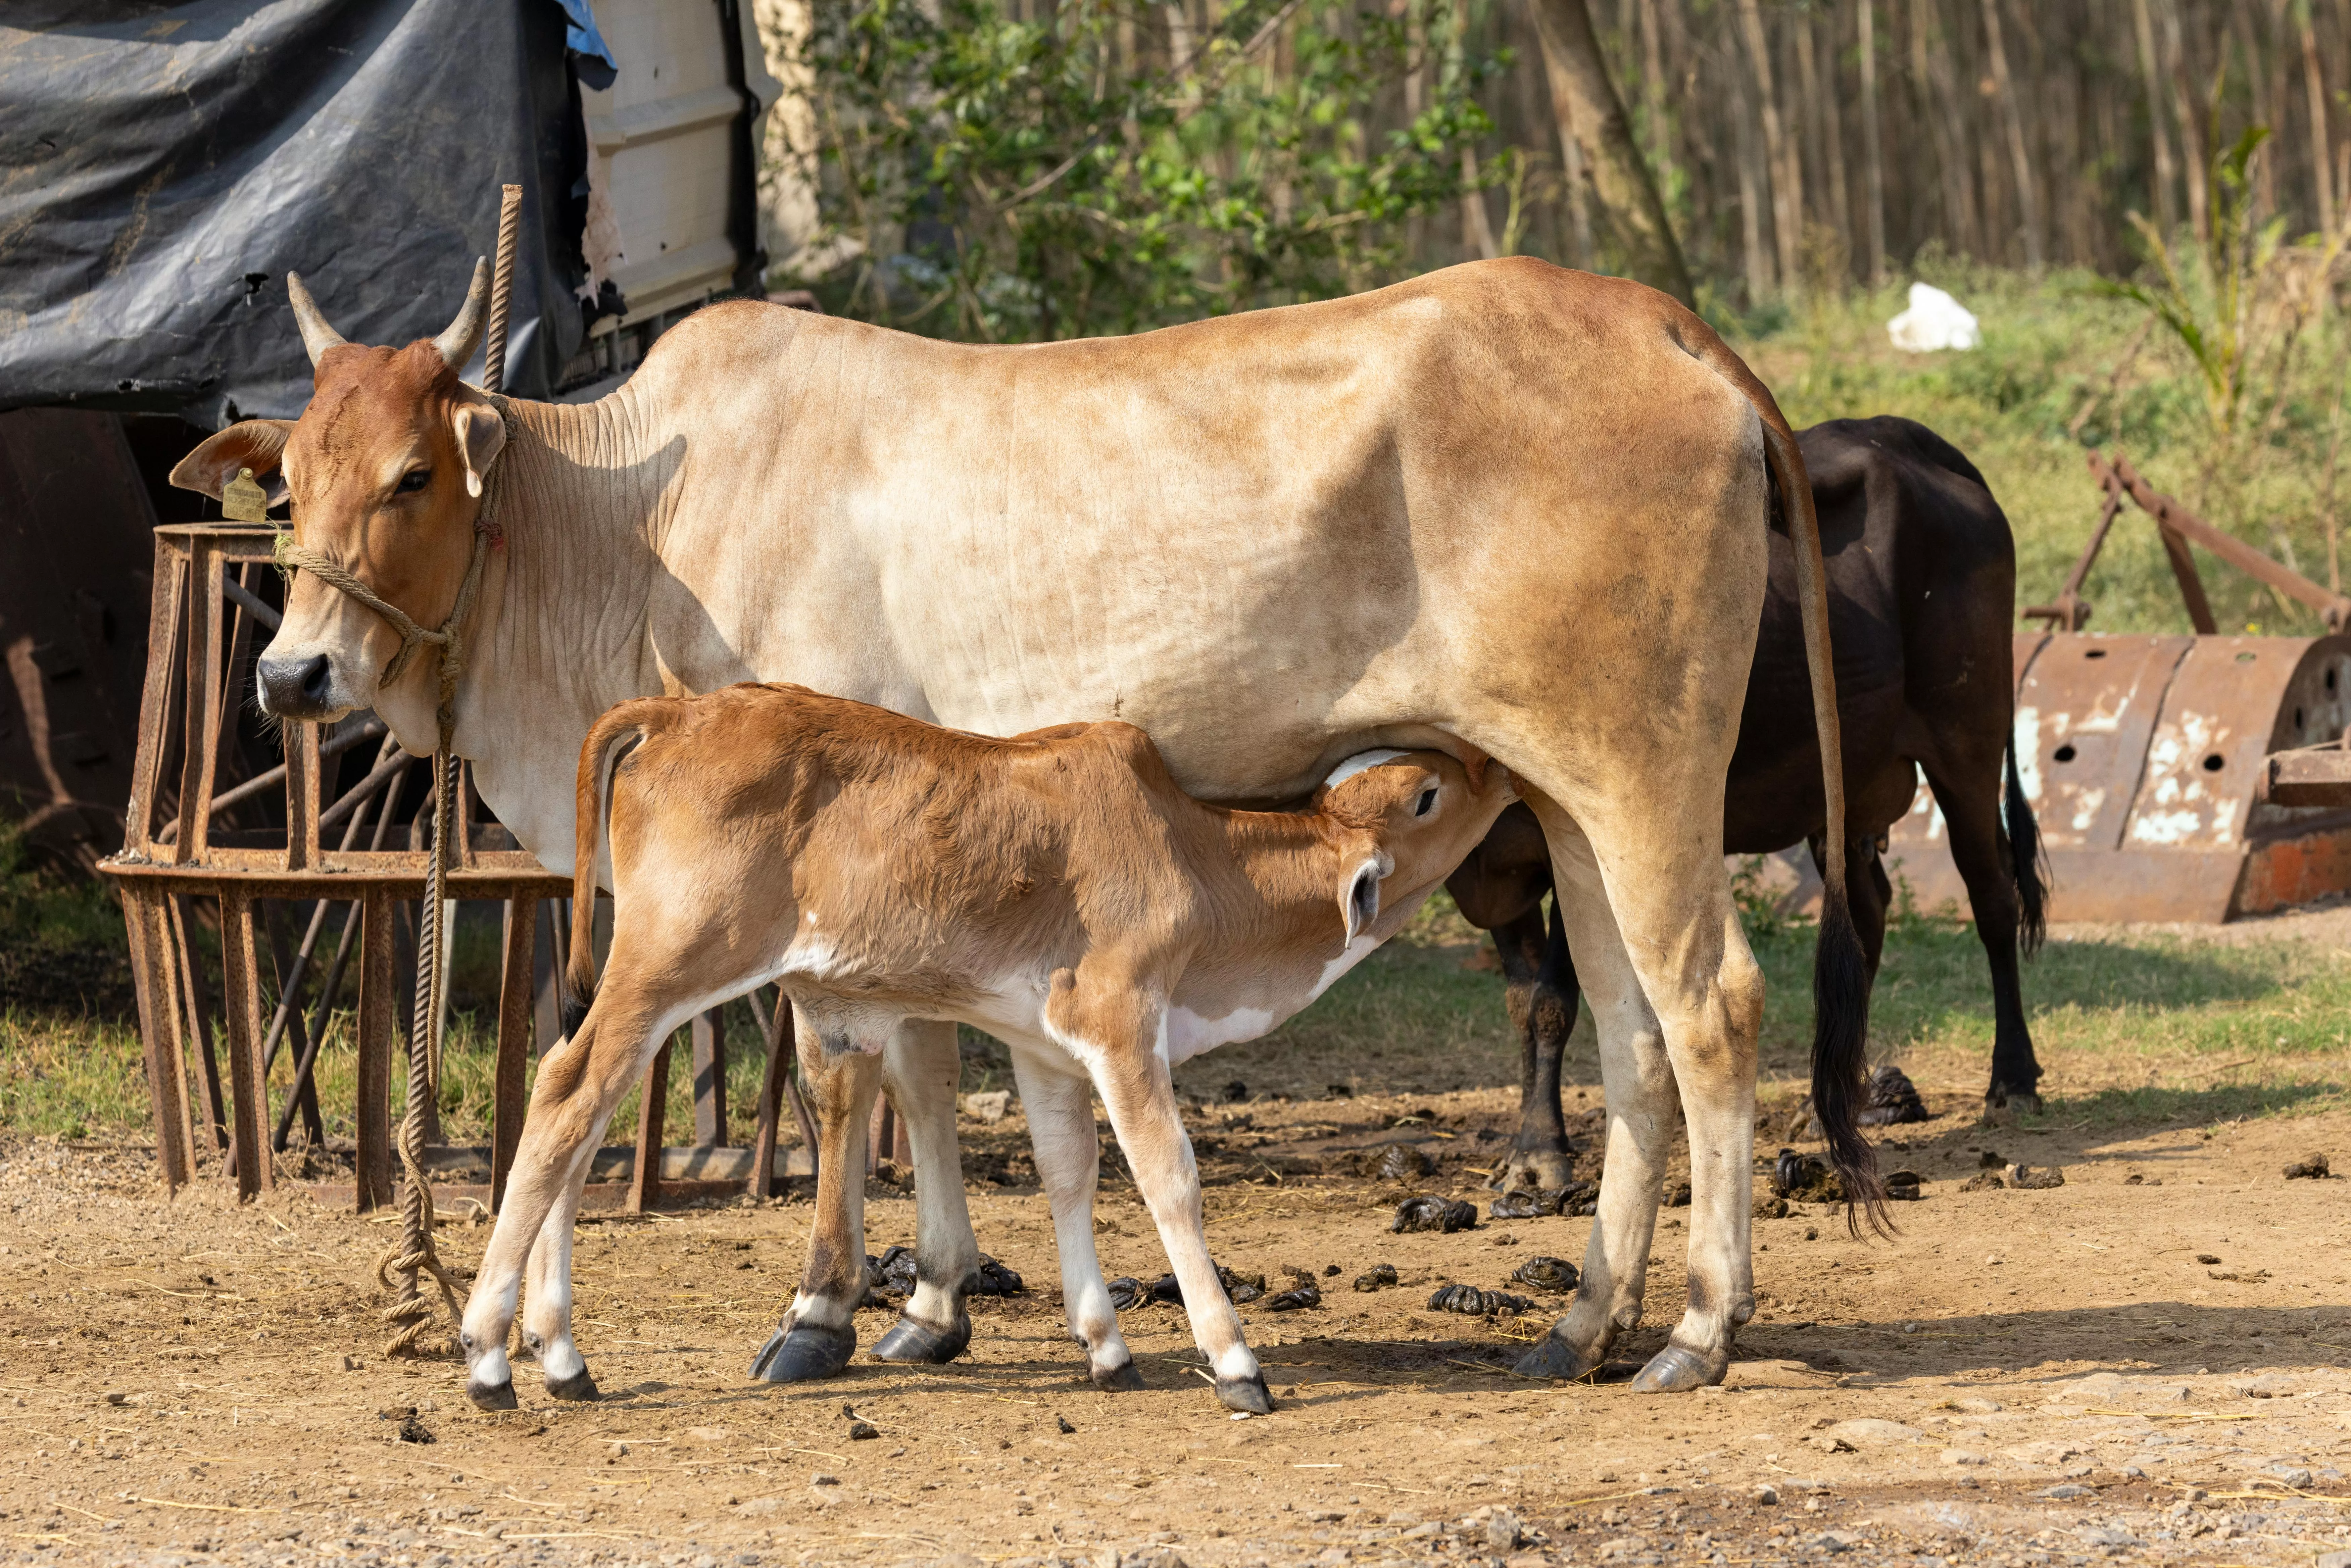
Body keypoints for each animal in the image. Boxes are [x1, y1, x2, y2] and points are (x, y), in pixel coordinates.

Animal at [455, 684, 1517, 1413]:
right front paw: (1234, 1361)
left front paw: (1106, 1347)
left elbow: (1067, 1170)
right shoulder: (1122, 1019)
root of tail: (674, 712)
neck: (1198, 858)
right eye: (1426, 794)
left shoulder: (1045, 1044)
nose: (1492, 767)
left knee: (579, 1115)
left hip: (650, 979)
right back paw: (490, 1350)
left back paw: (561, 1354)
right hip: (669, 963)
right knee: (565, 1098)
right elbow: (1167, 1176)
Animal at [1449, 415, 2049, 1197]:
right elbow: (1522, 1003)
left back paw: (2013, 1079)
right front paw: (1530, 1142)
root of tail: (1899, 436)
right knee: (1865, 913)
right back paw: (1826, 1103)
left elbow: (1554, 997)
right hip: (1842, 790)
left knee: (1992, 896)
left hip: (1967, 738)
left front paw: (1541, 1154)